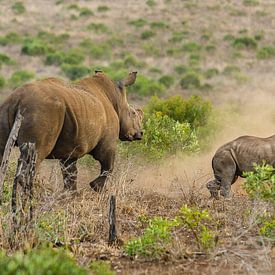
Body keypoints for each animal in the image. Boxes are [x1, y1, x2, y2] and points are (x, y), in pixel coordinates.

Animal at [0, 70, 143, 193]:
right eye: (133, 113)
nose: (140, 133)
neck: (116, 99)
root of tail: (18, 99)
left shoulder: (70, 148)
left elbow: (70, 172)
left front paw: (70, 194)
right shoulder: (108, 142)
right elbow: (108, 165)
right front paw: (96, 188)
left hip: (7, 107)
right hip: (42, 111)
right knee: (38, 154)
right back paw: (44, 191)